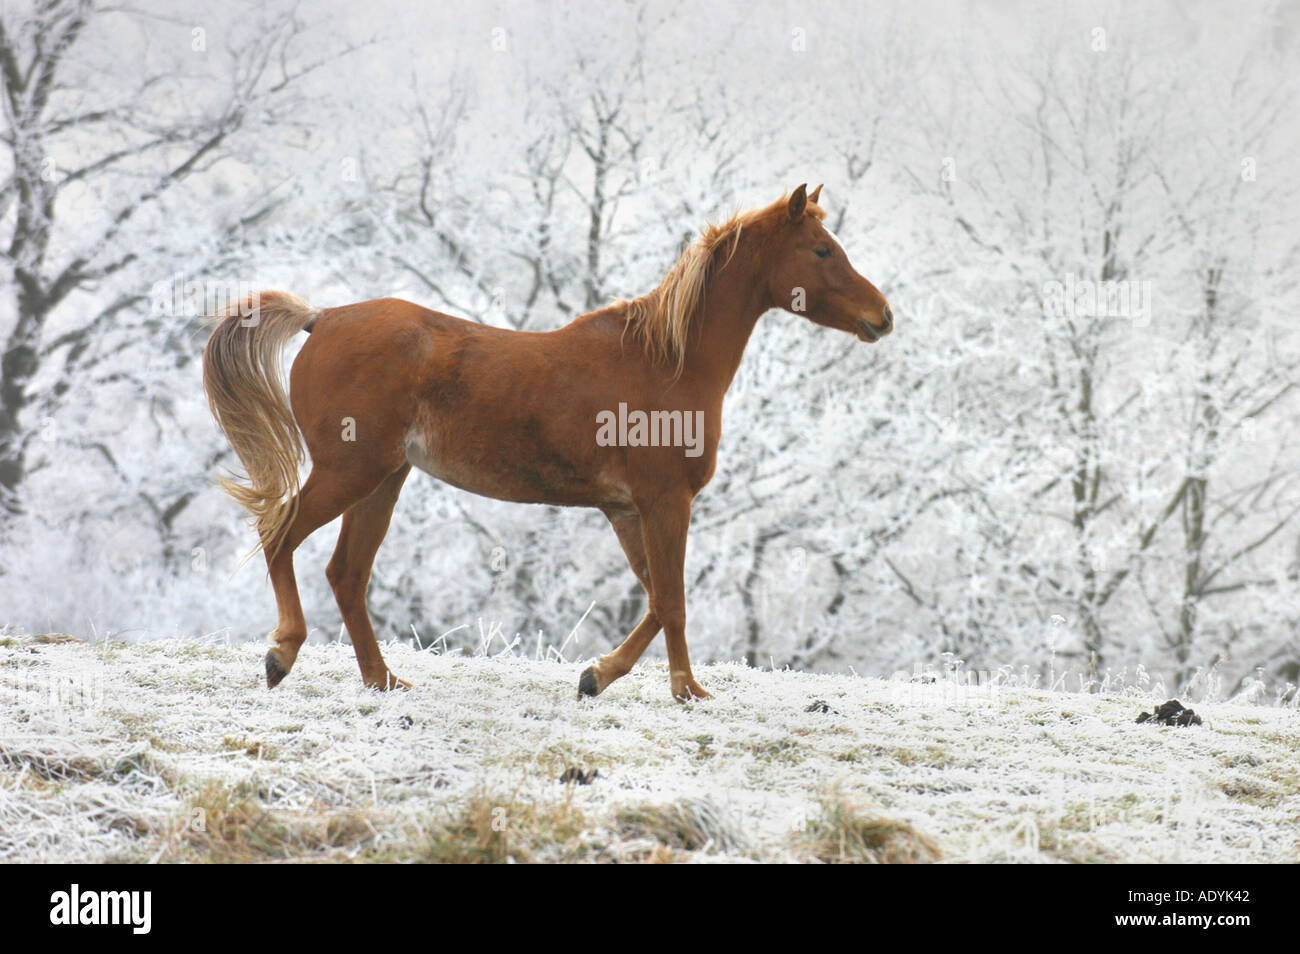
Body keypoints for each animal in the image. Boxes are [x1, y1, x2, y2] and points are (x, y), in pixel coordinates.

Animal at [202, 184, 894, 702]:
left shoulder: (627, 510)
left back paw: (384, 682)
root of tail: (321, 319)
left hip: (384, 480)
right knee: (279, 535)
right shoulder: (665, 501)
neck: (666, 361)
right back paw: (283, 653)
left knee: (346, 573)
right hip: (351, 471)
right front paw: (686, 690)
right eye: (822, 250)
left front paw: (597, 676)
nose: (883, 316)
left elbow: (655, 597)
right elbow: (673, 600)